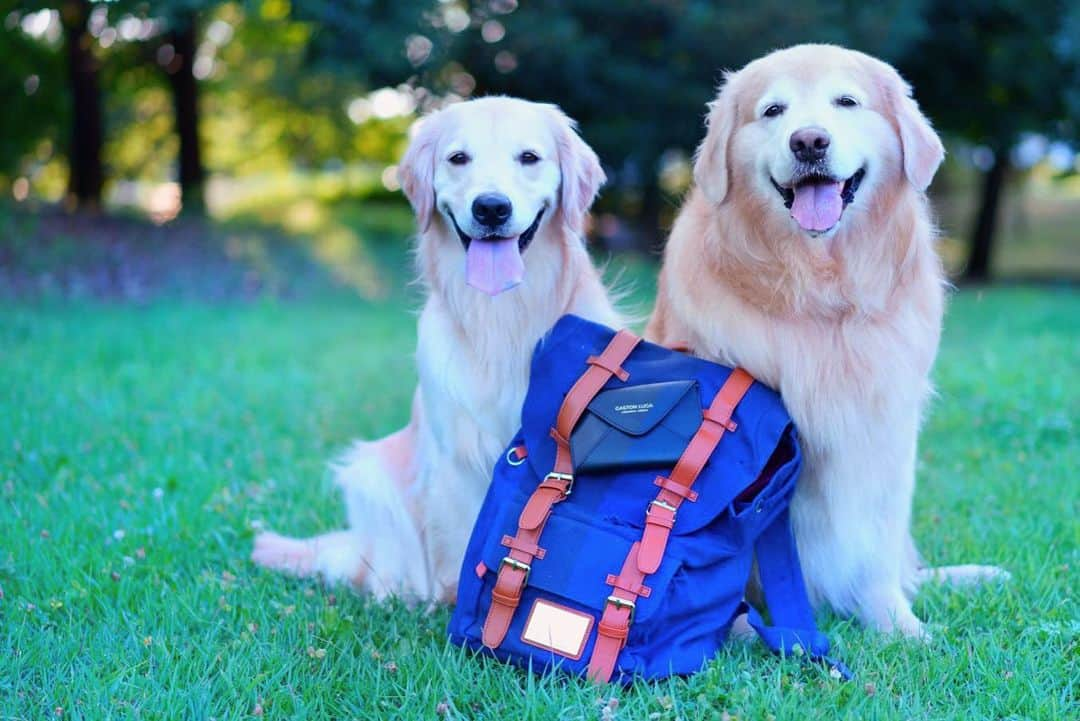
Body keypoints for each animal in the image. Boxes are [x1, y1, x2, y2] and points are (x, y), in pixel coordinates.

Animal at [252, 95, 622, 604]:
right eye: (458, 158)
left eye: (529, 157)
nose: (491, 208)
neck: (502, 317)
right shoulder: (456, 454)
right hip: (371, 475)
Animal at [643, 43, 1006, 634]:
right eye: (773, 111)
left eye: (846, 102)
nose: (809, 141)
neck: (817, 293)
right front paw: (737, 629)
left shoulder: (883, 433)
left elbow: (874, 543)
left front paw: (898, 626)